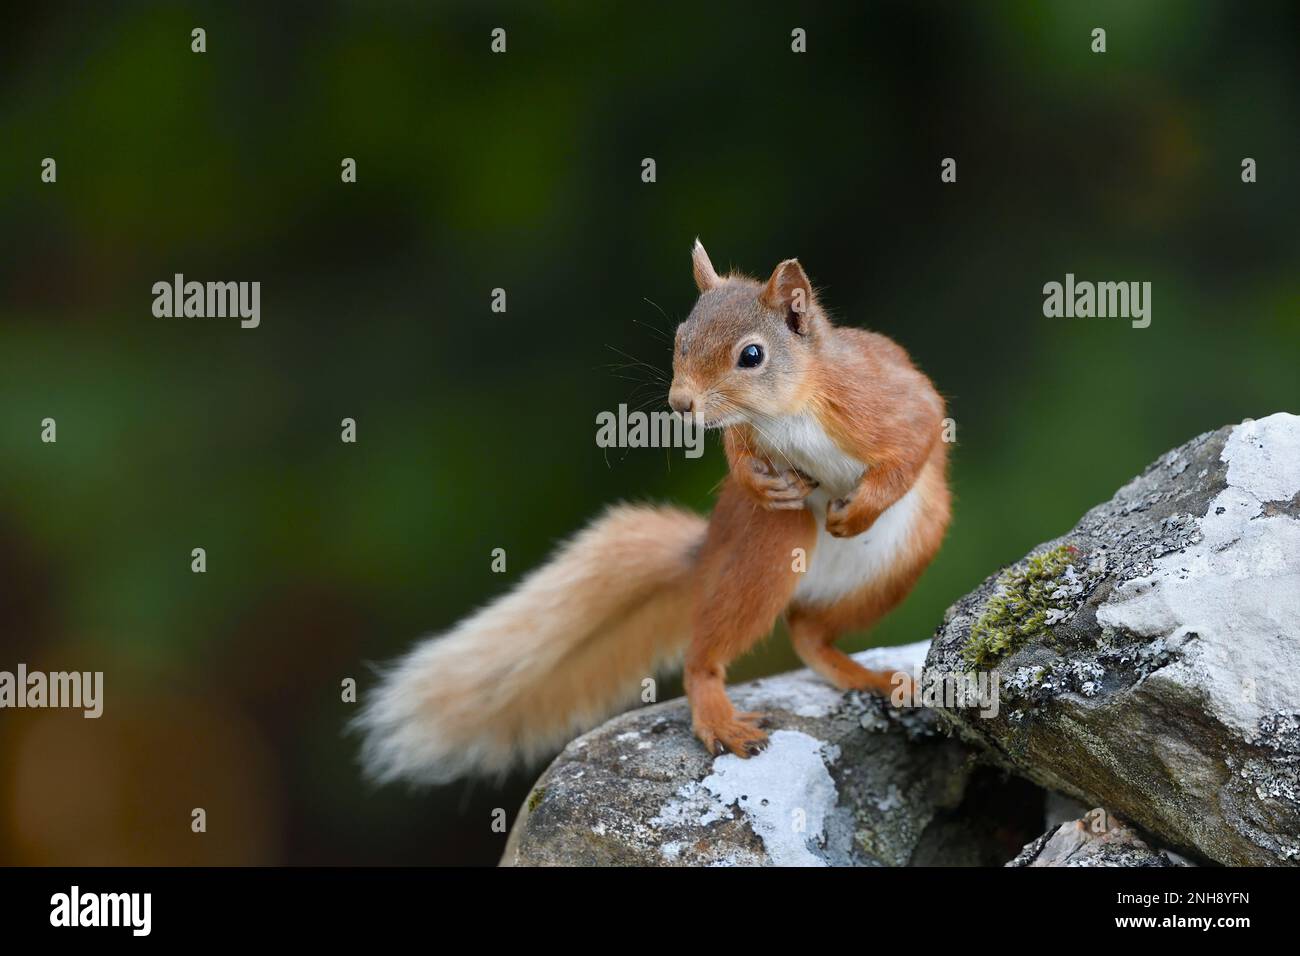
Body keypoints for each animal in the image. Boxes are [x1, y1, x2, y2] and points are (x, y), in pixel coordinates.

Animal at [357, 240, 951, 784]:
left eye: (752, 355)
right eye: (681, 338)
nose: (681, 404)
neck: (787, 410)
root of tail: (711, 548)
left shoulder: (884, 399)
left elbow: (920, 434)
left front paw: (860, 509)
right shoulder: (751, 434)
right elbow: (740, 455)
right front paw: (756, 480)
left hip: (903, 556)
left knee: (809, 631)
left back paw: (864, 675)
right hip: (771, 546)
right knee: (718, 651)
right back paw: (720, 713)